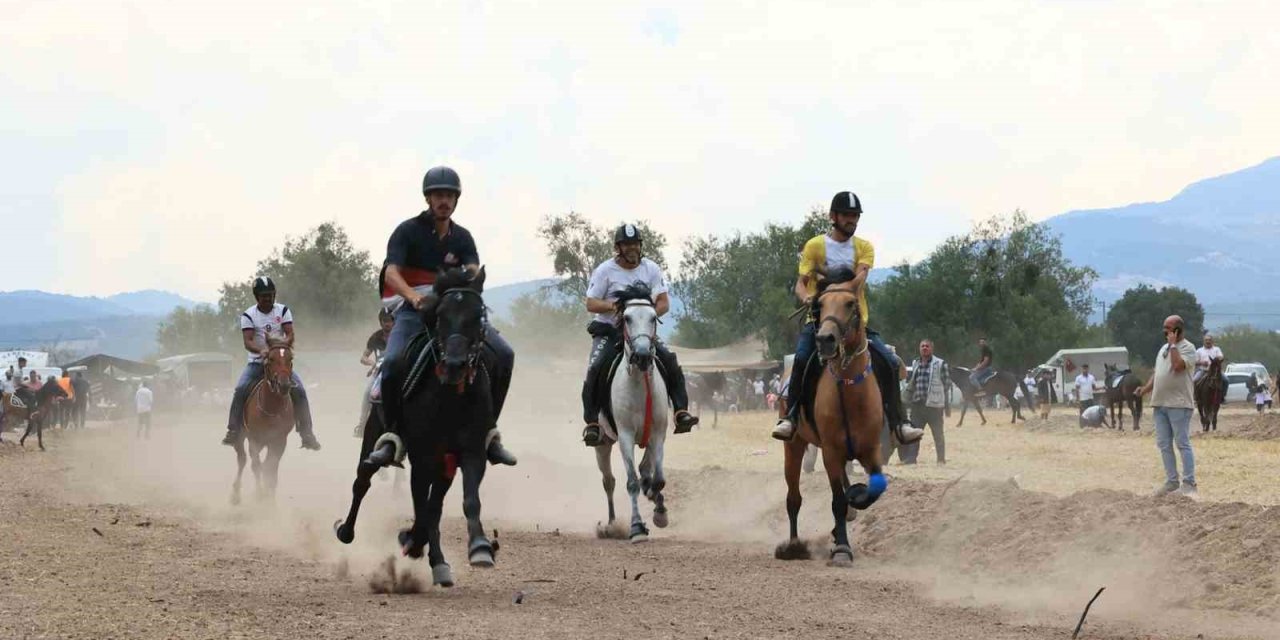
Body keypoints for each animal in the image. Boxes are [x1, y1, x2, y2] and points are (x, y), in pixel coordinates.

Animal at [231, 340, 295, 504]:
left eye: (290, 358)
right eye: (271, 359)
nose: (284, 385)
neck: (271, 408)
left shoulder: (280, 440)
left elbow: (271, 468)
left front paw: (269, 500)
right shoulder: (254, 439)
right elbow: (256, 466)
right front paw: (260, 496)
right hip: (241, 437)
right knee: (242, 460)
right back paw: (235, 495)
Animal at [335, 267, 499, 586]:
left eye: (478, 315)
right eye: (440, 315)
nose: (455, 365)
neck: (450, 397)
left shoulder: (469, 451)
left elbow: (462, 501)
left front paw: (479, 547)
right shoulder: (423, 456)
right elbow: (423, 507)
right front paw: (412, 542)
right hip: (373, 435)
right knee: (362, 480)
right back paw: (345, 530)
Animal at [596, 296, 675, 542]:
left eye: (653, 318)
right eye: (627, 318)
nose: (641, 355)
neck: (640, 385)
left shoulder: (658, 434)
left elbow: (658, 479)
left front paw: (660, 513)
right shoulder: (625, 436)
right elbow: (631, 483)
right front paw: (637, 528)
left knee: (645, 470)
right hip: (602, 443)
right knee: (609, 482)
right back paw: (611, 525)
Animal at [773, 272, 885, 568]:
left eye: (850, 303)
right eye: (819, 305)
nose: (825, 339)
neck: (849, 393)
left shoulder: (871, 449)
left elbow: (875, 489)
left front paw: (856, 500)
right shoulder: (831, 452)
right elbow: (837, 501)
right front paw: (842, 549)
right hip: (794, 445)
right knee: (793, 498)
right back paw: (793, 546)